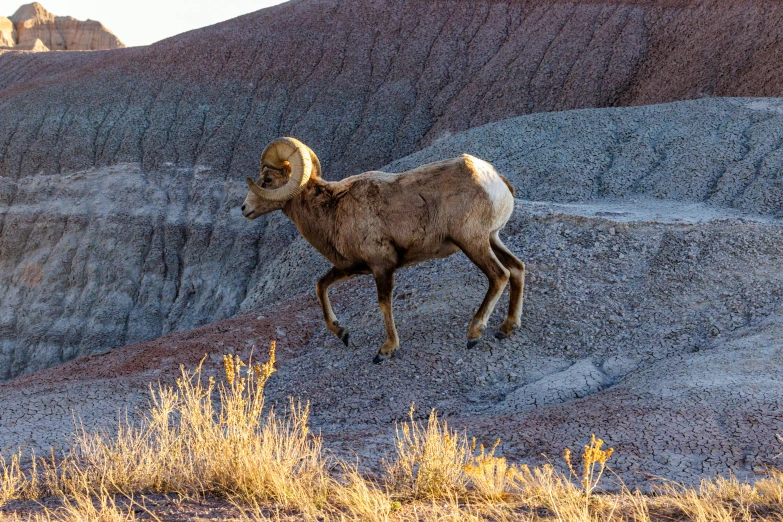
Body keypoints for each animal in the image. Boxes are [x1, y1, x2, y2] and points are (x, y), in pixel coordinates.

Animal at [243, 137, 528, 362]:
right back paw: (507, 328)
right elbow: (321, 285)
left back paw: (474, 333)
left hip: (472, 242)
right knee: (517, 268)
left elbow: (384, 304)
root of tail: (496, 180)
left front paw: (386, 350)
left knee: (499, 275)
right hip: (492, 239)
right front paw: (343, 334)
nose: (245, 209)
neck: (332, 209)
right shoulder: (352, 267)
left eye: (267, 179)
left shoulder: (382, 266)